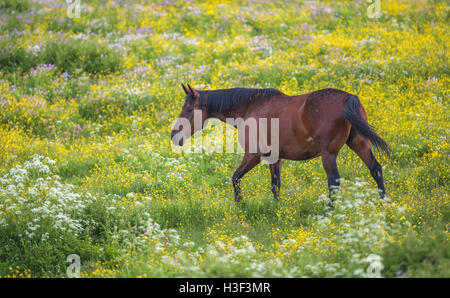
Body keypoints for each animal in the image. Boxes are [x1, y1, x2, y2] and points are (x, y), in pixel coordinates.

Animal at [171, 84, 388, 205]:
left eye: (188, 109)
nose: (174, 135)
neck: (250, 107)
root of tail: (348, 98)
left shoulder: (253, 155)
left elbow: (235, 178)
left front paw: (240, 206)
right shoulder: (275, 159)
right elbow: (275, 186)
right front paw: (277, 210)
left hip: (329, 154)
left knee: (334, 181)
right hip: (359, 143)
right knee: (376, 169)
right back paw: (382, 204)